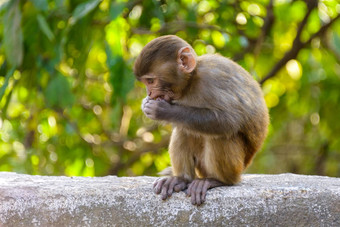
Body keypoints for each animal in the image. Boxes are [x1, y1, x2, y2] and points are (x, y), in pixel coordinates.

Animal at [134, 34, 270, 206]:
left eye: (151, 81)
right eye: (147, 82)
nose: (149, 93)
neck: (192, 81)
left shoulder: (213, 79)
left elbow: (229, 120)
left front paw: (163, 111)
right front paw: (147, 104)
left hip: (236, 167)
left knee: (221, 135)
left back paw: (217, 180)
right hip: (201, 167)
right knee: (184, 129)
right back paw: (181, 179)